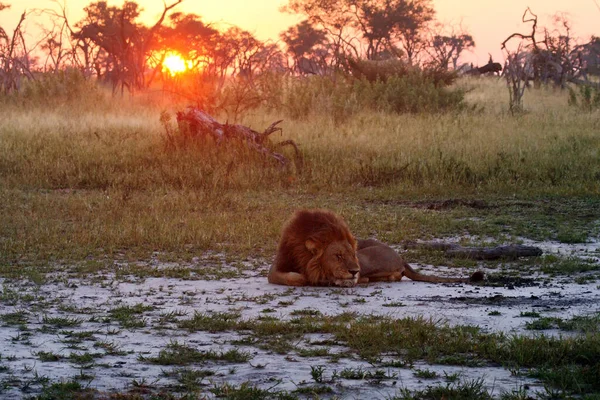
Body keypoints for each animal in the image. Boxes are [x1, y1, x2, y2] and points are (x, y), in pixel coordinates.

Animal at [270, 209, 486, 288]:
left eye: (351, 254)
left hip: (368, 258)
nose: (353, 270)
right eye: (337, 256)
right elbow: (290, 277)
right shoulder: (275, 267)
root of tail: (401, 256)